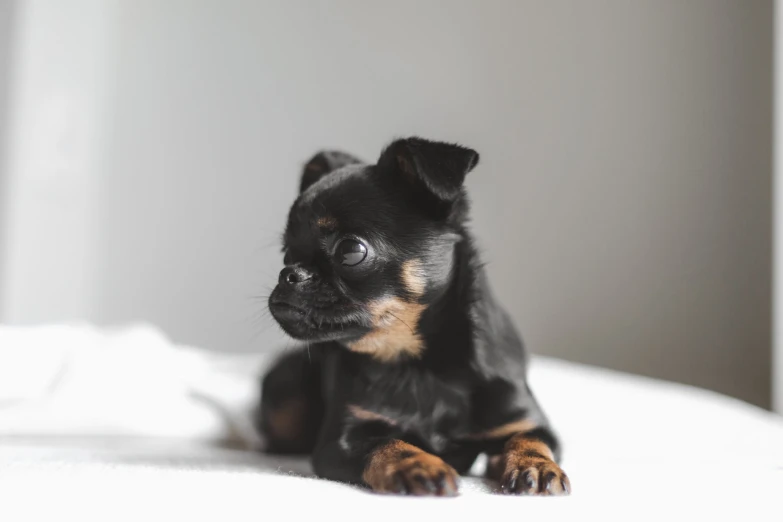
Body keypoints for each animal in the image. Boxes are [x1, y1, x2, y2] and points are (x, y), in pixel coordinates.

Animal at [260, 138, 572, 496]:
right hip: (286, 403)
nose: (289, 274)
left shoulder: (526, 421)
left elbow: (530, 439)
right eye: (287, 254)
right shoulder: (339, 442)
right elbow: (387, 444)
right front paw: (418, 464)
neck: (421, 364)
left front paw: (534, 464)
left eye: (350, 251)